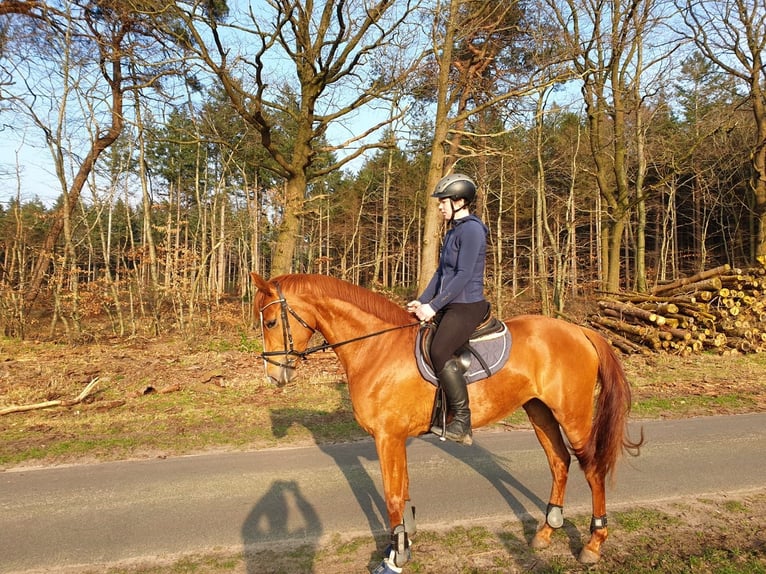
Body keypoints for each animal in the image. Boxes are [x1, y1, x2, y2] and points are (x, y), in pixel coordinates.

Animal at [252, 272, 640, 572]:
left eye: (270, 322)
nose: (274, 376)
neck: (378, 348)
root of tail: (579, 331)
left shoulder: (387, 437)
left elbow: (392, 495)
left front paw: (396, 554)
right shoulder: (395, 438)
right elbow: (403, 488)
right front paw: (404, 541)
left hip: (573, 415)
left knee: (592, 469)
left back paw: (593, 543)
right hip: (539, 411)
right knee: (559, 462)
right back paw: (546, 532)